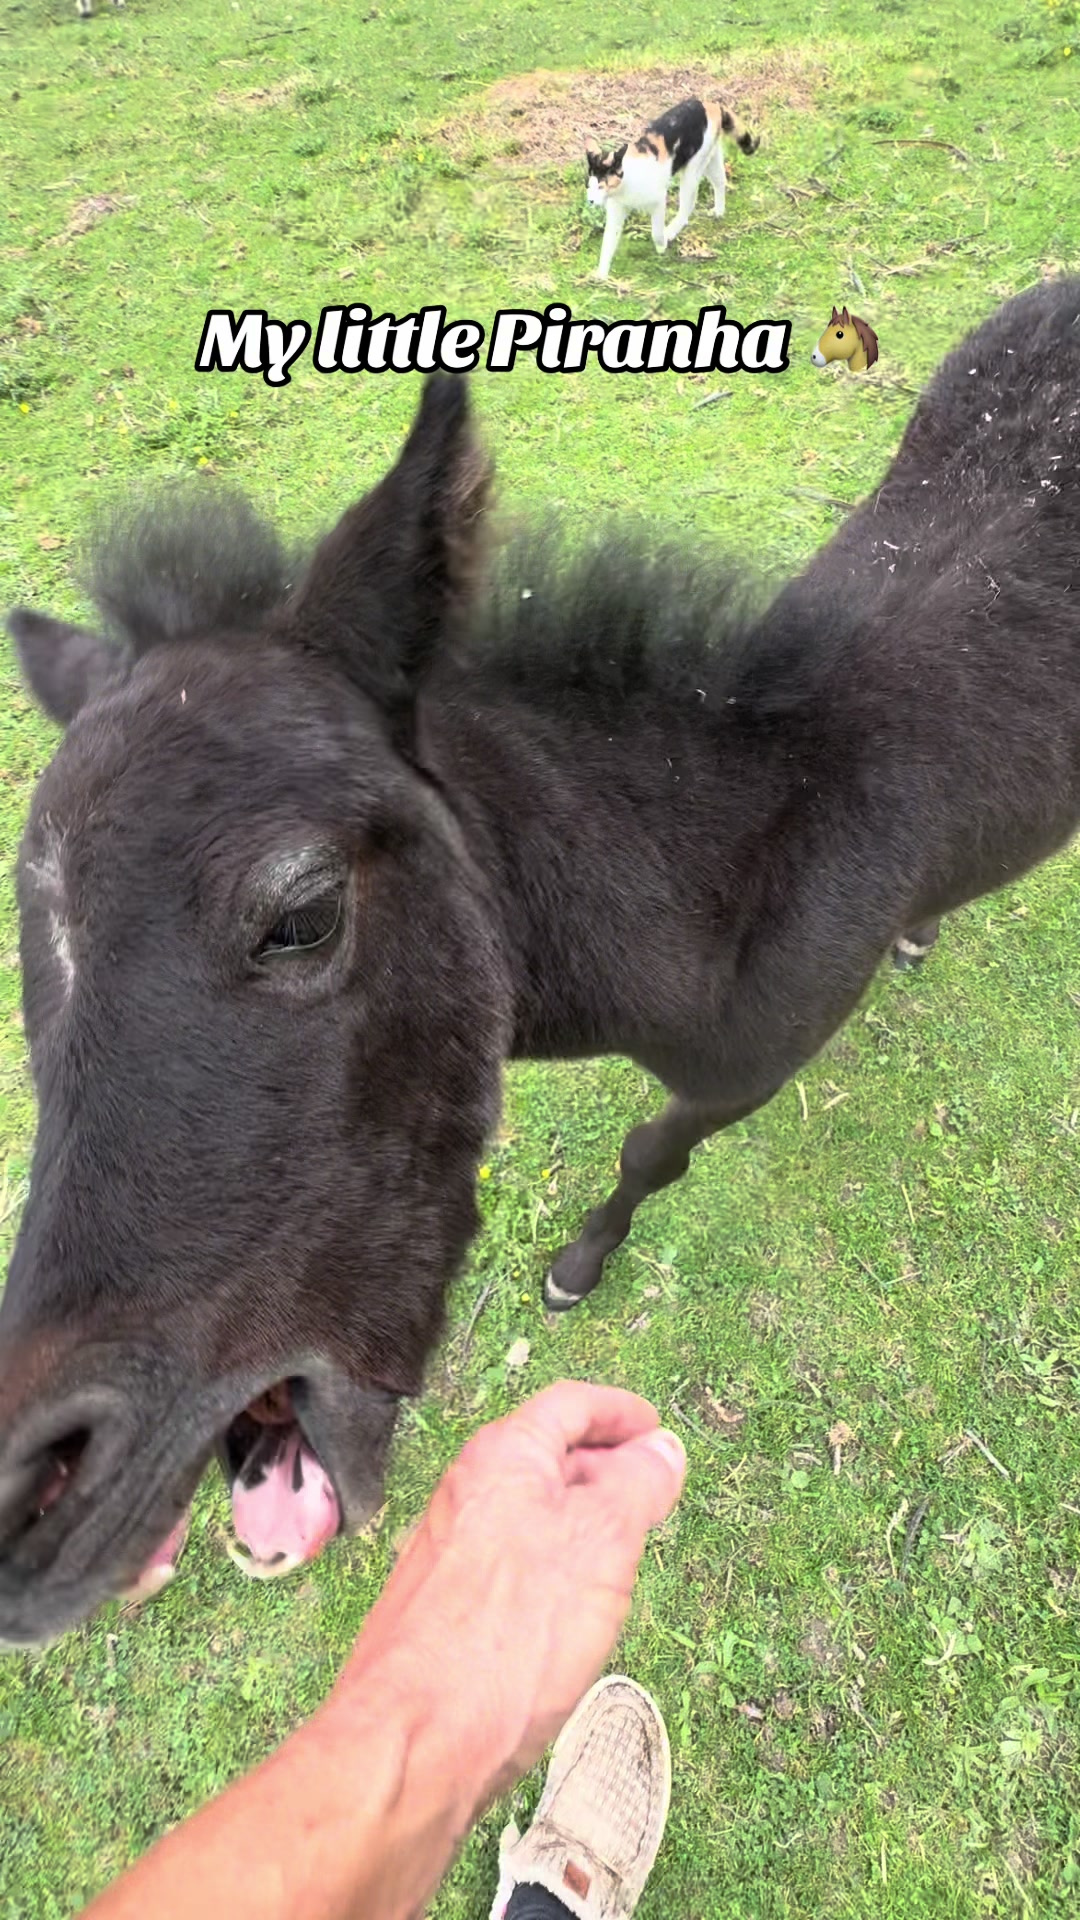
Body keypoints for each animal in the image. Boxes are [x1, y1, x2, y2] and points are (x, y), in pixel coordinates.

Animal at [1, 275, 1078, 1645]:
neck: (753, 854)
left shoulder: (745, 1071)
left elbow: (652, 1151)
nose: (38, 1495)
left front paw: (575, 1268)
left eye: (301, 913)